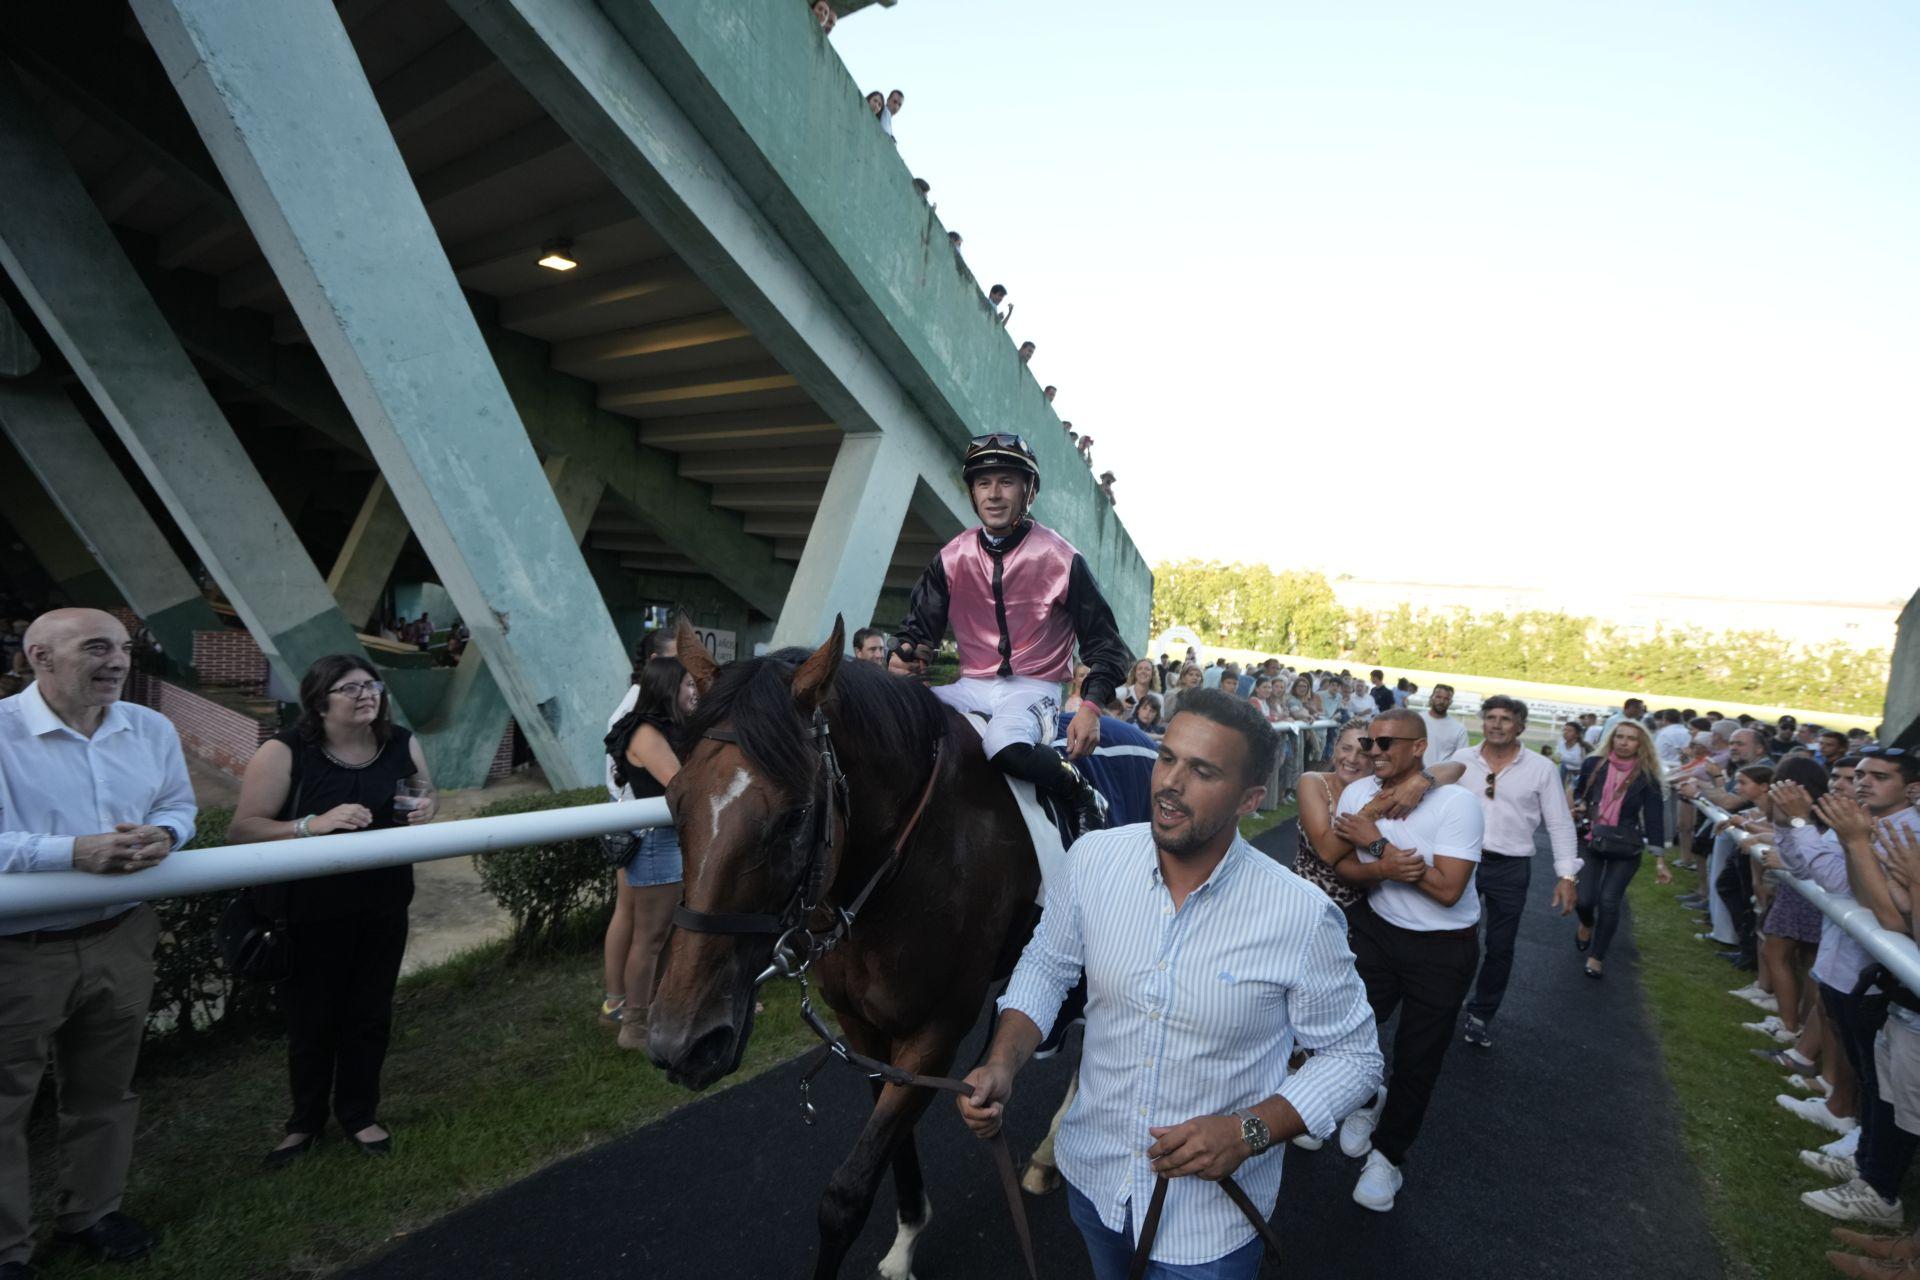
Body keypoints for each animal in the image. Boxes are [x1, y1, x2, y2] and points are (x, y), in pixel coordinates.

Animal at [641, 614, 1036, 1274]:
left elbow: (845, 1196)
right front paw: (907, 1235)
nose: (683, 1043)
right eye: (674, 801)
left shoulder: (937, 1033)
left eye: (796, 816)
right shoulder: (861, 1027)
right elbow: (888, 1142)